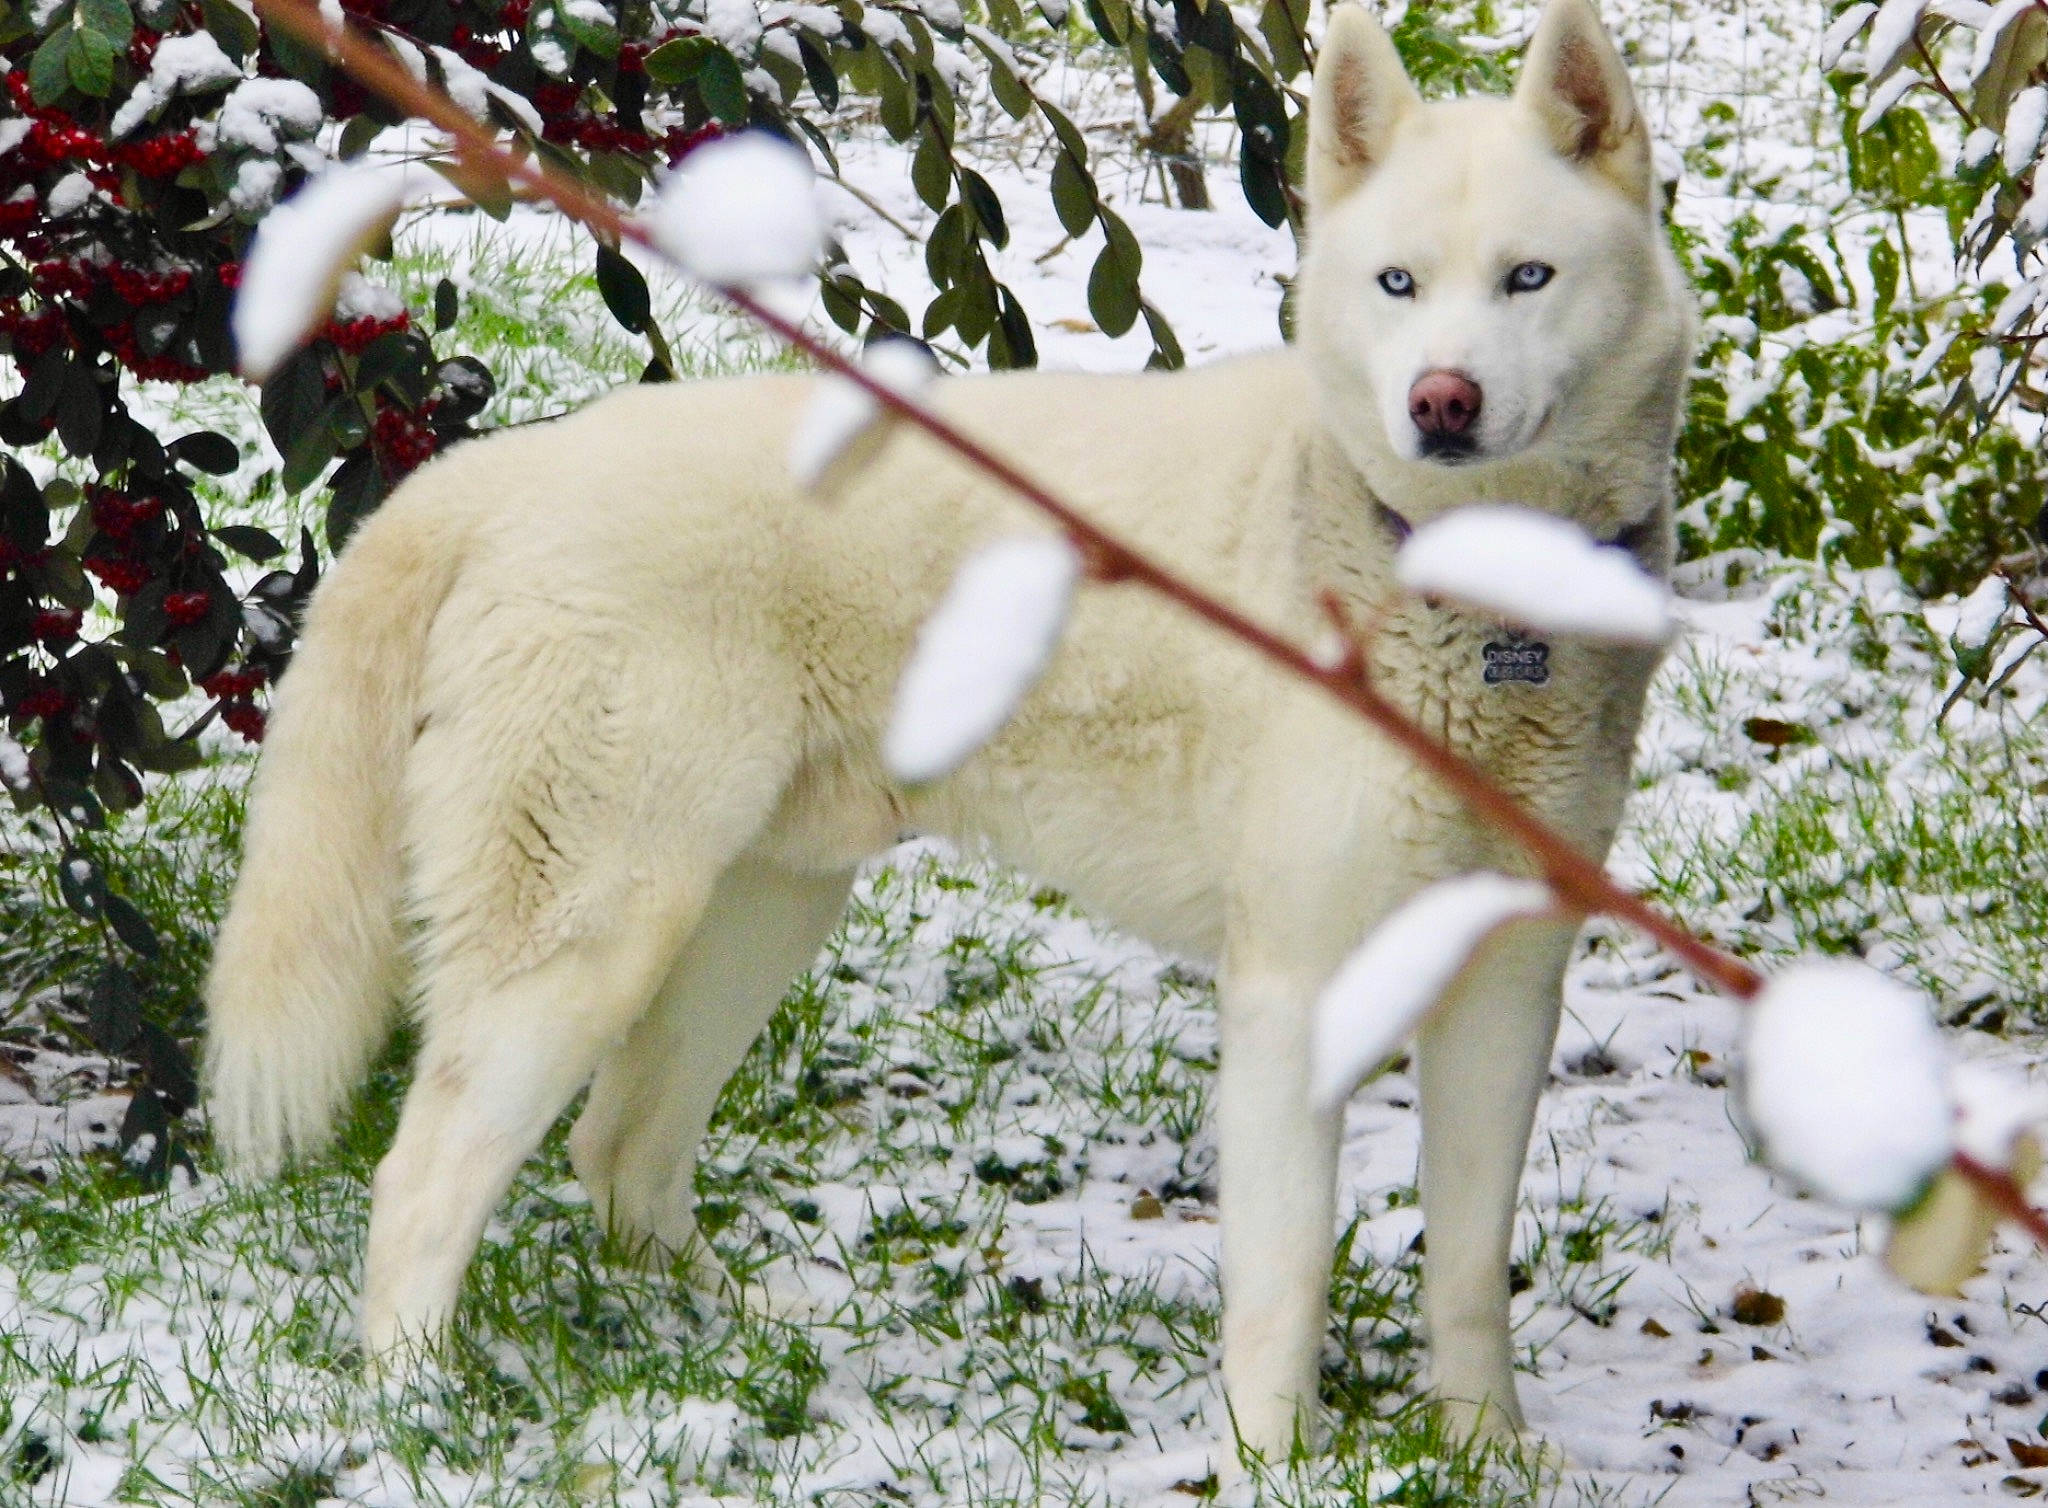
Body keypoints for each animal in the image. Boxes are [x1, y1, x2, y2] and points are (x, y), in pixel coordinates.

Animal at [205, 0, 1692, 1463]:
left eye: (1528, 280)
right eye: (1396, 286)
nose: (1440, 403)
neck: (1457, 597)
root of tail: (503, 466)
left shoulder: (1509, 981)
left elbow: (1468, 1272)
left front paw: (1488, 1457)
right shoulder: (1295, 987)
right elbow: (1284, 1292)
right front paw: (1273, 1472)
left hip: (759, 907)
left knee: (620, 1150)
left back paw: (734, 1344)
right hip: (592, 930)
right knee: (425, 1173)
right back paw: (415, 1410)